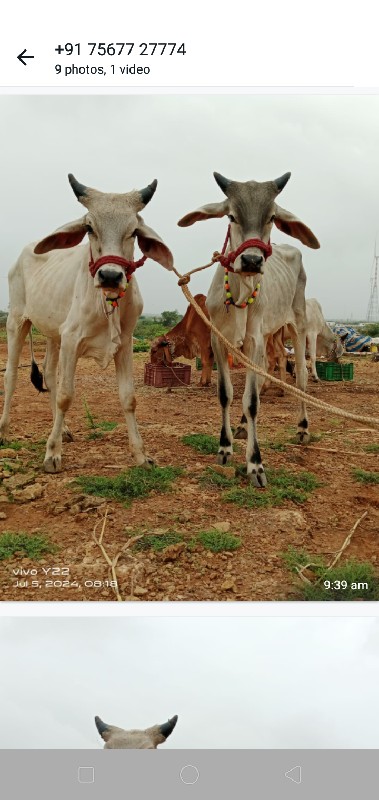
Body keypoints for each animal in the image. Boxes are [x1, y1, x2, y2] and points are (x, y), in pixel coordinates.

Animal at [0, 173, 172, 472]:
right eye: (90, 227)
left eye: (133, 231)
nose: (110, 276)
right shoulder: (71, 340)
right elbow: (66, 395)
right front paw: (52, 454)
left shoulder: (124, 344)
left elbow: (129, 398)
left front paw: (140, 454)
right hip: (17, 321)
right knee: (11, 375)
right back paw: (4, 430)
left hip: (53, 334)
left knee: (48, 374)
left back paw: (64, 430)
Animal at [179, 170, 320, 488]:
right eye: (231, 215)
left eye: (272, 217)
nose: (253, 260)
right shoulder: (220, 340)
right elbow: (227, 393)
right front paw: (225, 447)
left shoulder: (254, 340)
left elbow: (252, 401)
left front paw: (255, 463)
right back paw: (243, 427)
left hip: (297, 325)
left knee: (302, 377)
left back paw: (303, 428)